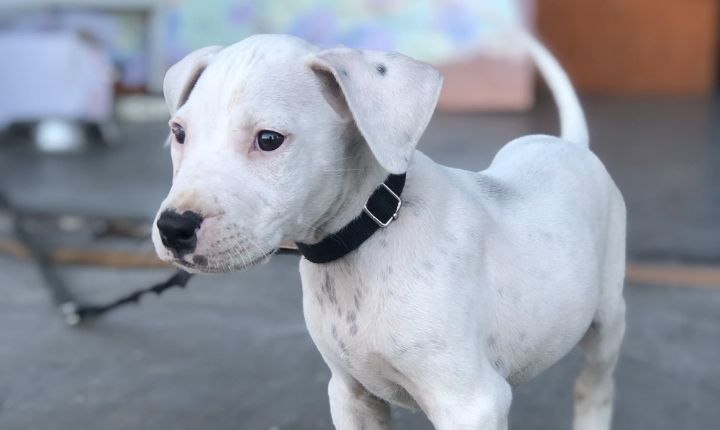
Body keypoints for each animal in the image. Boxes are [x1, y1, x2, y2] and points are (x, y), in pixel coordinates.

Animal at [152, 31, 624, 430]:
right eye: (179, 132)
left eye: (269, 139)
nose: (173, 228)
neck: (369, 235)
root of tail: (570, 145)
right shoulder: (351, 394)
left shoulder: (470, 402)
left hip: (606, 321)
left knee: (595, 385)